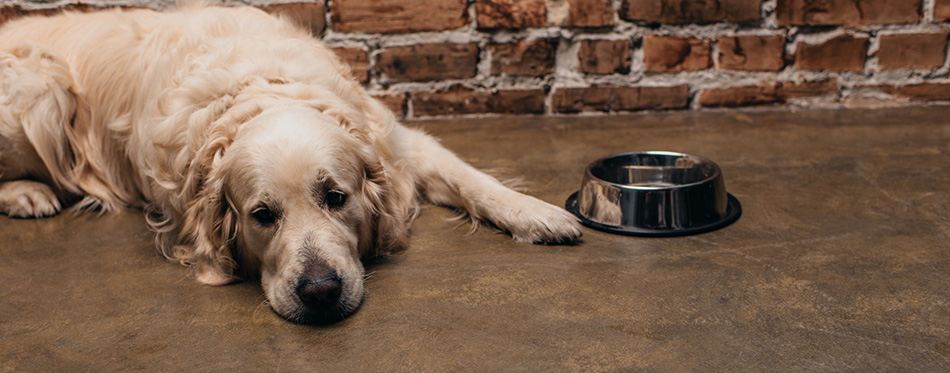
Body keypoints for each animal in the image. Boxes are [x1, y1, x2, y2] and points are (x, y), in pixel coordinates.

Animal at [0, 5, 584, 322]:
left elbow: (473, 180)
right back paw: (28, 193)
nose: (321, 292)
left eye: (337, 198)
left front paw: (538, 214)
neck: (265, 85)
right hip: (40, 91)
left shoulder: (398, 143)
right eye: (262, 216)